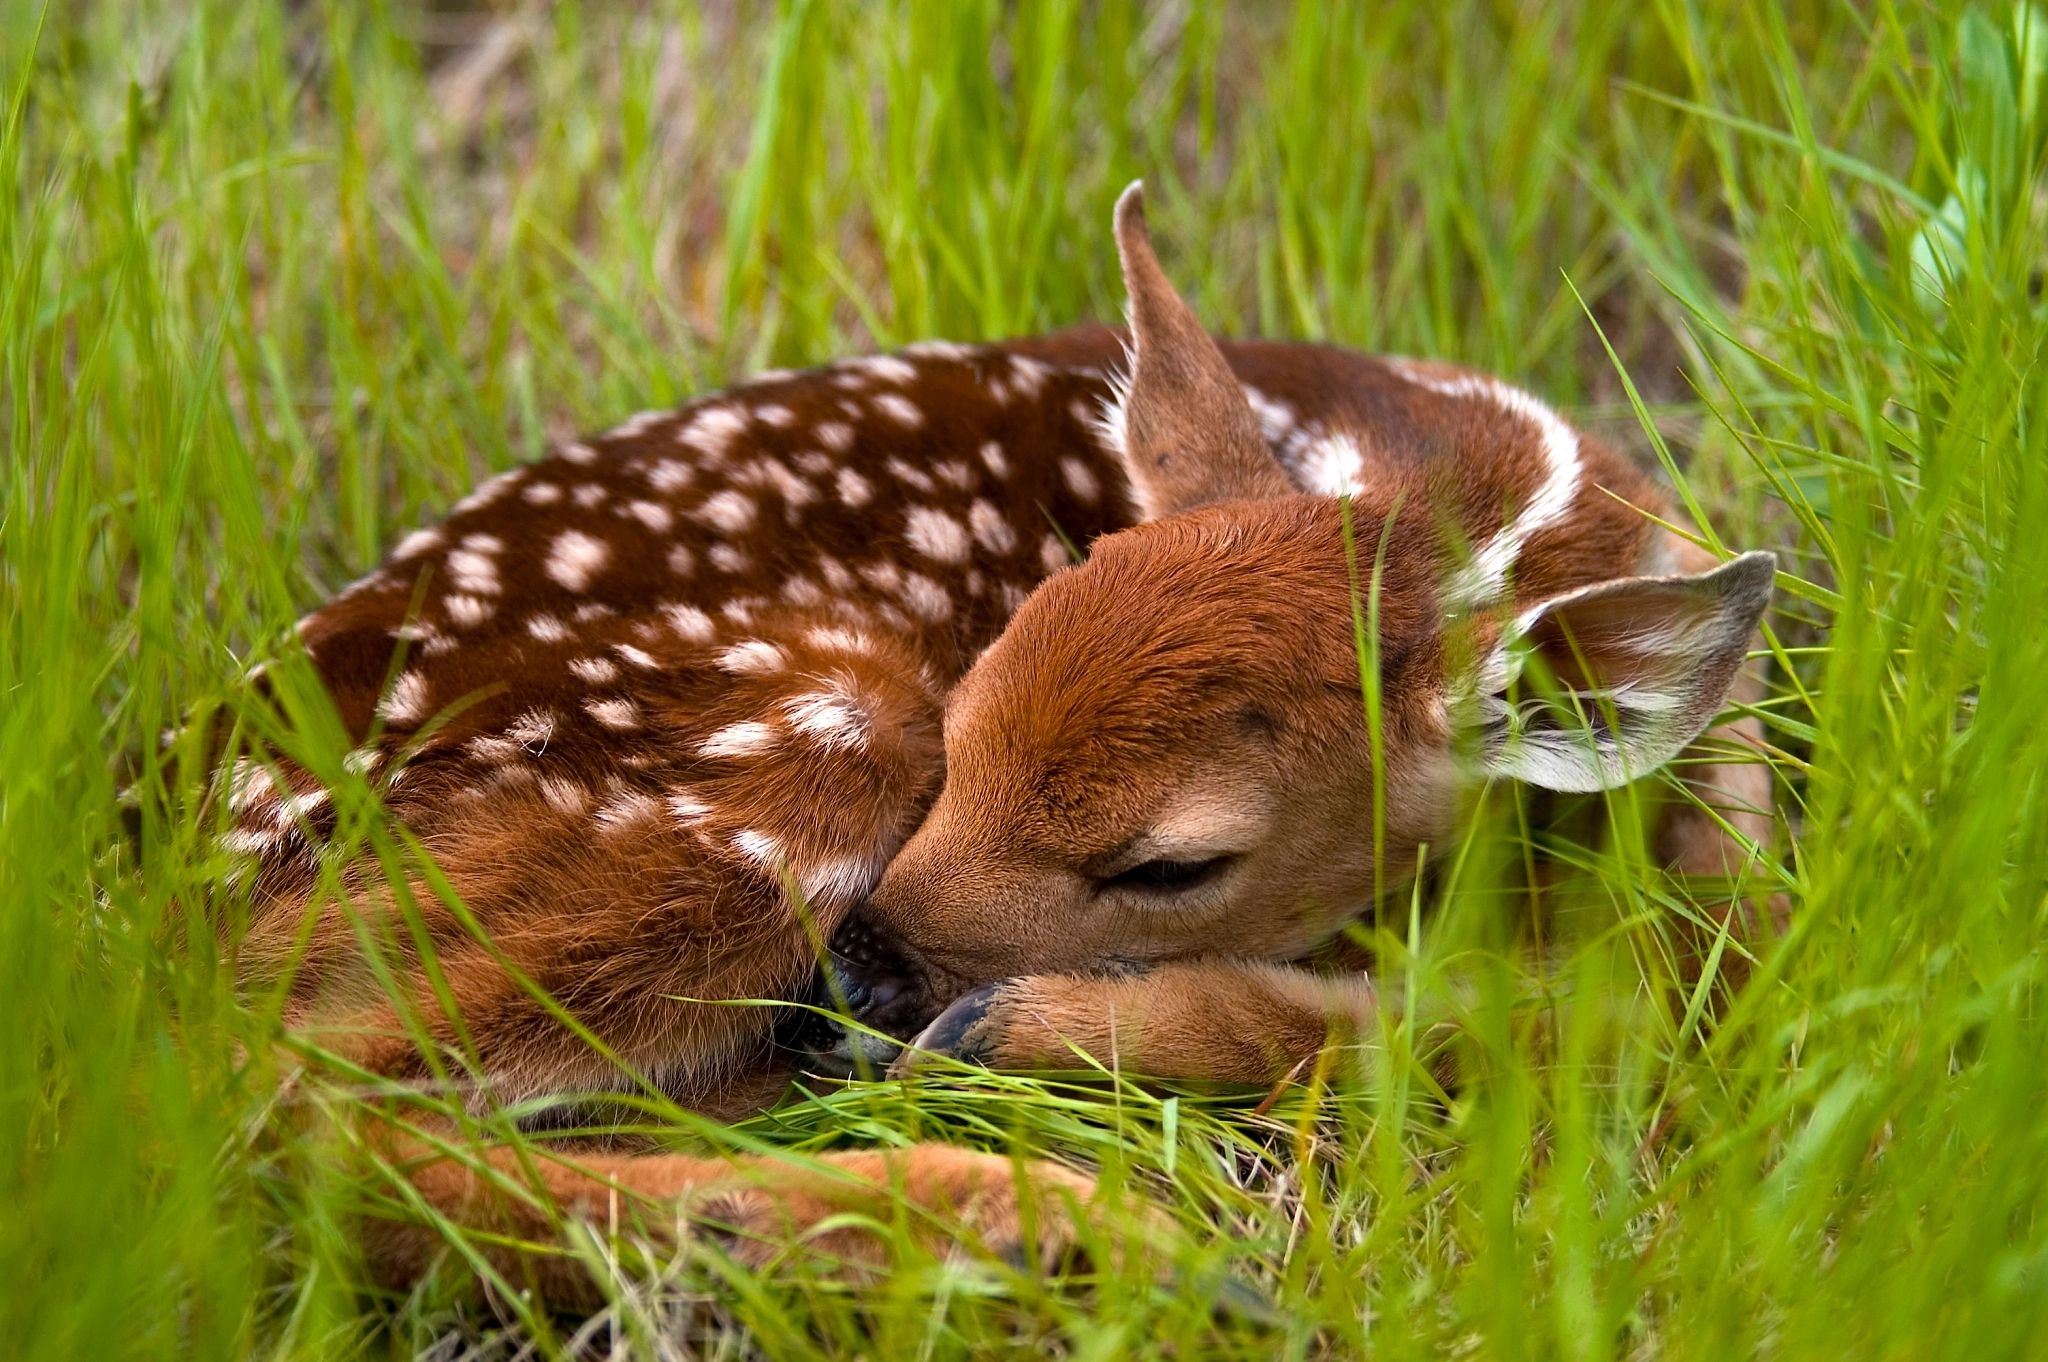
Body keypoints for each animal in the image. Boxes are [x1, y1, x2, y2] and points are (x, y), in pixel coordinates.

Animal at [221, 183, 1775, 1302]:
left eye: (1171, 865)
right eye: (963, 724)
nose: (853, 974)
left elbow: (1614, 1003)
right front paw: (1024, 1045)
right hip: (782, 752)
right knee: (276, 1110)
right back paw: (1064, 1234)